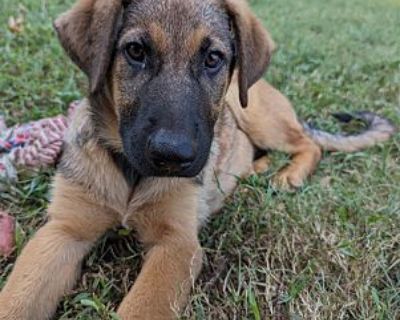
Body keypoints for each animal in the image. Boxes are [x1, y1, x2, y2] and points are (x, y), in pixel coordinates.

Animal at [0, 0, 394, 318]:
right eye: (136, 51)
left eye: (213, 59)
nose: (173, 156)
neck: (131, 175)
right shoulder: (63, 230)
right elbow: (17, 298)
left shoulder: (177, 245)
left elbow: (141, 309)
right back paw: (255, 170)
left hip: (254, 112)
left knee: (308, 144)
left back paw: (287, 176)